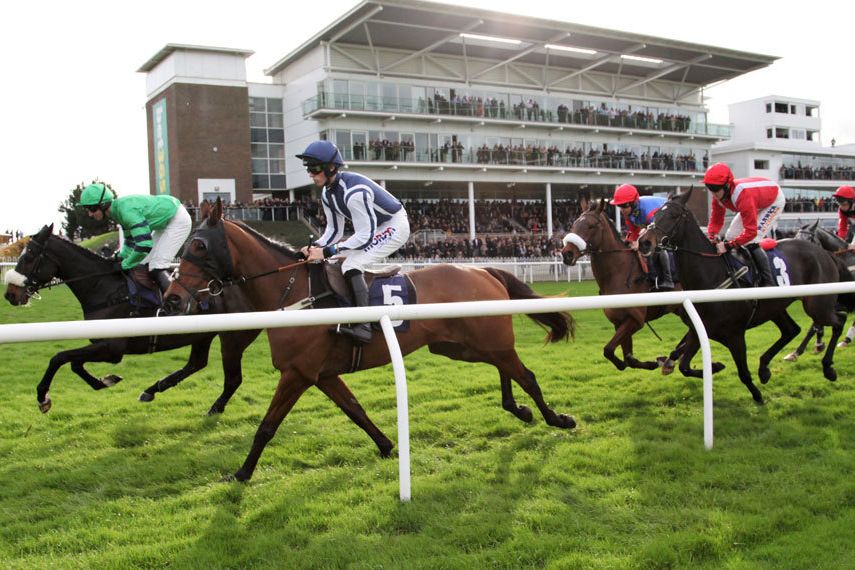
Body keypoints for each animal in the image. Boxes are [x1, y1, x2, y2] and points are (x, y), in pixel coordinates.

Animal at [3, 222, 260, 412]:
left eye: (29, 255)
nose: (10, 294)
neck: (104, 288)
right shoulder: (101, 344)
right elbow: (74, 363)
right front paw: (105, 381)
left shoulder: (113, 348)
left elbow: (59, 357)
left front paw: (43, 398)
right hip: (202, 334)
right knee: (196, 364)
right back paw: (153, 389)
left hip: (233, 338)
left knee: (233, 378)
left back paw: (215, 407)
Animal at [164, 200, 580, 480]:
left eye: (199, 246)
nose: (172, 298)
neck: (295, 292)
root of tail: (484, 270)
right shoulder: (322, 374)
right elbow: (355, 410)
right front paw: (386, 445)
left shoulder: (297, 374)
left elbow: (267, 426)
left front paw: (241, 474)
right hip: (461, 346)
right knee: (504, 367)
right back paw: (518, 409)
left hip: (484, 341)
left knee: (527, 375)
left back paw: (556, 418)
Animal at [784, 220, 855, 358]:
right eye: (795, 237)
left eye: (809, 239)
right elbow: (817, 323)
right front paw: (818, 344)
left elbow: (815, 324)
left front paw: (798, 351)